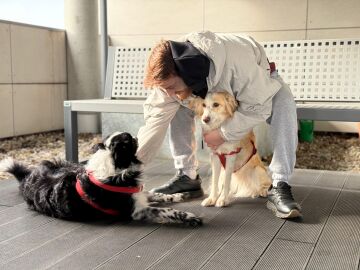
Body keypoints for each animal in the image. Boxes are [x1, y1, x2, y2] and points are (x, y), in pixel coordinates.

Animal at [0, 132, 202, 227]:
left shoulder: (136, 193)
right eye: (129, 140)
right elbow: (165, 210)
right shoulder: (137, 211)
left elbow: (154, 194)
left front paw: (177, 196)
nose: (136, 136)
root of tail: (27, 178)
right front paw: (189, 217)